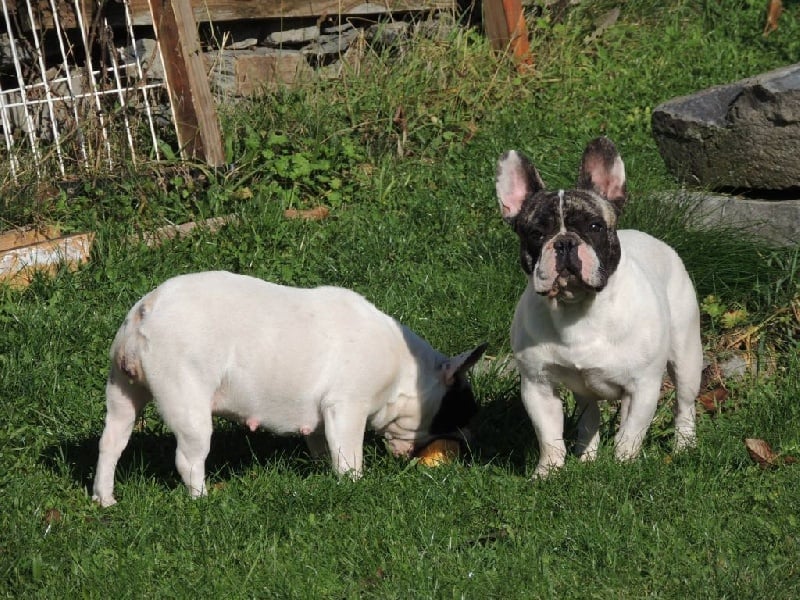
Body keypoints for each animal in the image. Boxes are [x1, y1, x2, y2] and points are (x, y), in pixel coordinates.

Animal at [90, 272, 484, 506]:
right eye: (458, 411)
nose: (467, 442)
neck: (404, 369)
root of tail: (146, 310)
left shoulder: (323, 420)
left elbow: (323, 446)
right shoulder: (347, 407)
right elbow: (349, 456)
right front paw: (353, 485)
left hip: (122, 392)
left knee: (111, 442)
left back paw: (104, 498)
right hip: (187, 401)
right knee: (188, 458)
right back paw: (202, 499)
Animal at [494, 137, 700, 478]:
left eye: (594, 226)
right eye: (536, 233)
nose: (564, 242)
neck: (578, 308)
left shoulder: (643, 386)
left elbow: (631, 433)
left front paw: (623, 467)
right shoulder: (538, 386)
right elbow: (548, 436)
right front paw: (548, 473)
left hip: (686, 358)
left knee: (684, 404)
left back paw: (684, 445)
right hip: (584, 388)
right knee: (589, 417)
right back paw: (586, 456)